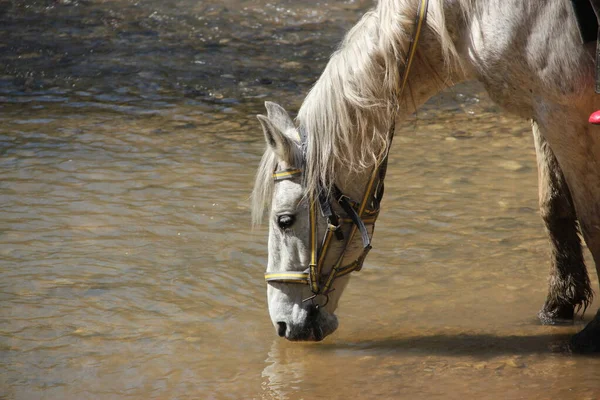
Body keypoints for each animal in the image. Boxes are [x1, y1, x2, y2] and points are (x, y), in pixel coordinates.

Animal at [251, 0, 596, 350]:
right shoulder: (541, 111)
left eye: (284, 220)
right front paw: (559, 303)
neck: (473, 18)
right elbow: (554, 205)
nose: (282, 324)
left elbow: (592, 220)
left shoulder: (564, 113)